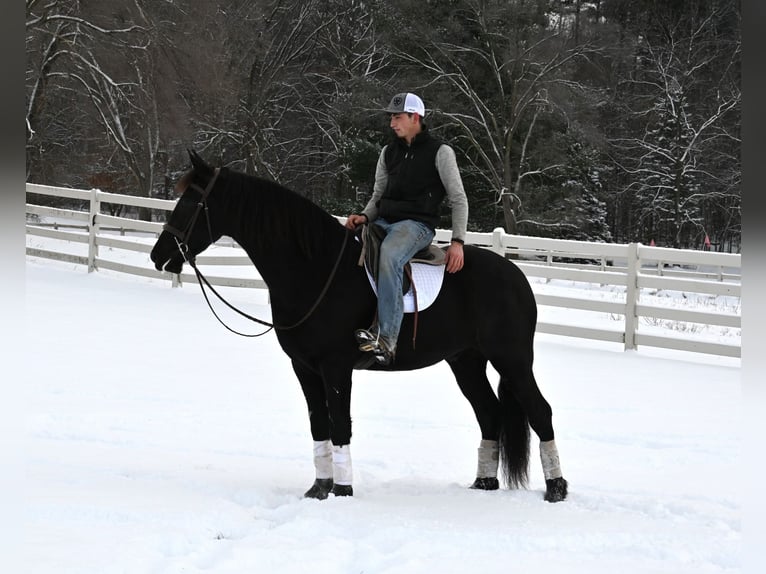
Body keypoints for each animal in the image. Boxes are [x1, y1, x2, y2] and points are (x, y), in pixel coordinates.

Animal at [152, 152, 568, 504]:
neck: (315, 268)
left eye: (190, 203)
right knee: (490, 413)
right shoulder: (305, 367)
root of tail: (516, 276)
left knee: (540, 411)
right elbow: (318, 424)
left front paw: (342, 489)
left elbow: (340, 424)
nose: (159, 255)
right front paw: (319, 488)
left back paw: (556, 489)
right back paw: (483, 482)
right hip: (465, 361)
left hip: (511, 359)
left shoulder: (336, 367)